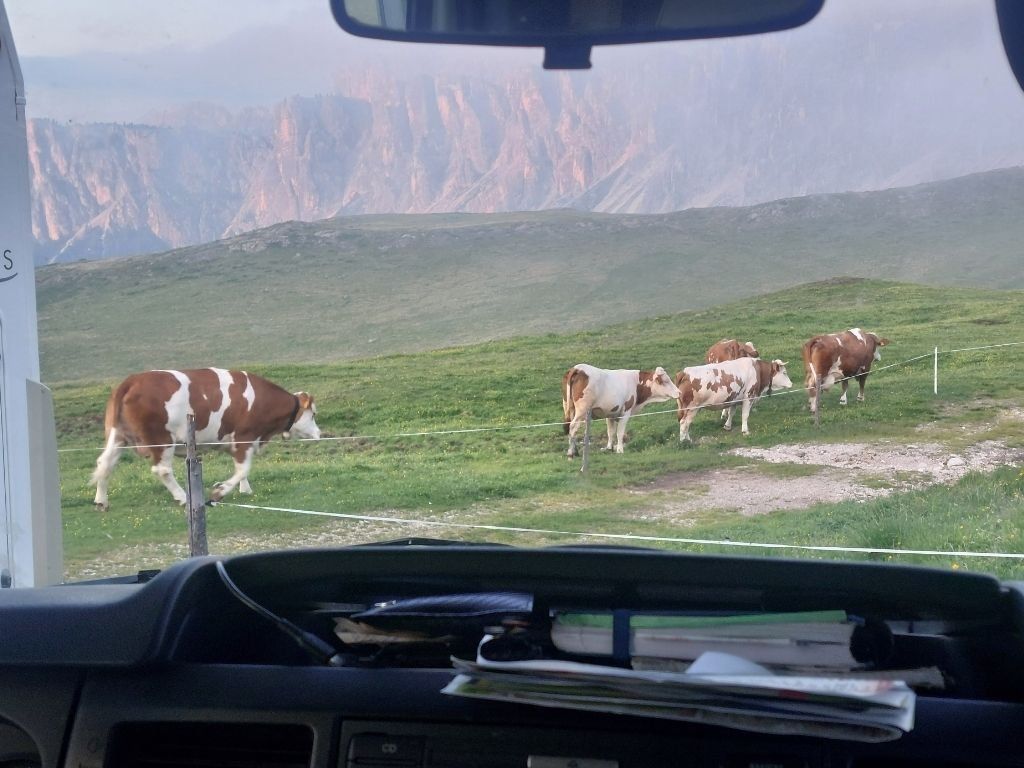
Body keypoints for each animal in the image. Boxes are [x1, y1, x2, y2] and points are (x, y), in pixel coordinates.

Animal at [90, 368, 321, 510]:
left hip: (118, 435)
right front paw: (219, 492)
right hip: (161, 439)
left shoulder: (237, 442)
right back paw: (184, 497)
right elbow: (243, 469)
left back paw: (101, 501)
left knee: (105, 463)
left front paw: (245, 490)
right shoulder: (244, 437)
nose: (319, 434)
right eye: (313, 414)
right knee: (162, 470)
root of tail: (131, 381)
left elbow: (242, 469)